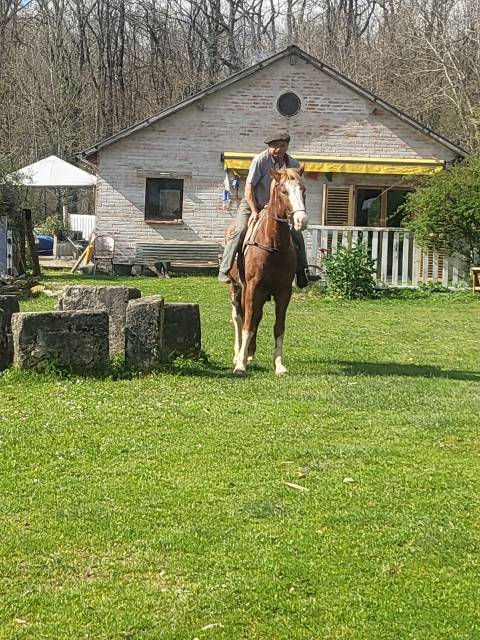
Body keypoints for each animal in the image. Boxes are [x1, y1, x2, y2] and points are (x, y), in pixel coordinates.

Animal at [228, 166, 308, 375]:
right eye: (284, 191)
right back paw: (238, 354)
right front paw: (240, 365)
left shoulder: (283, 292)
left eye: (303, 190)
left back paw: (249, 354)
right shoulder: (252, 287)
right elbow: (247, 323)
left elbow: (278, 327)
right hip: (236, 287)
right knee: (239, 317)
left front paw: (279, 364)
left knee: (256, 316)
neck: (273, 244)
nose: (301, 220)